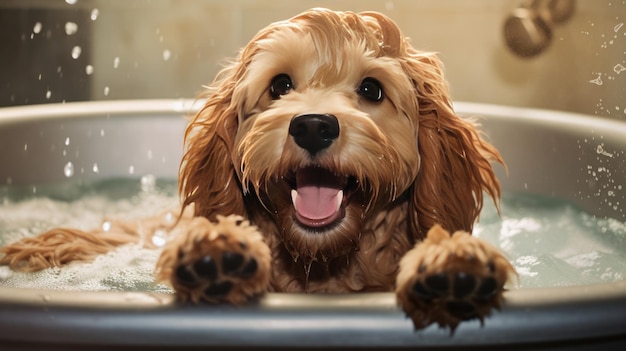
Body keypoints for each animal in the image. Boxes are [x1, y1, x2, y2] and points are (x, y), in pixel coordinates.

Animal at [2, 8, 516, 332]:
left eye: (372, 89)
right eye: (281, 84)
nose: (313, 125)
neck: (321, 267)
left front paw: (453, 265)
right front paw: (217, 253)